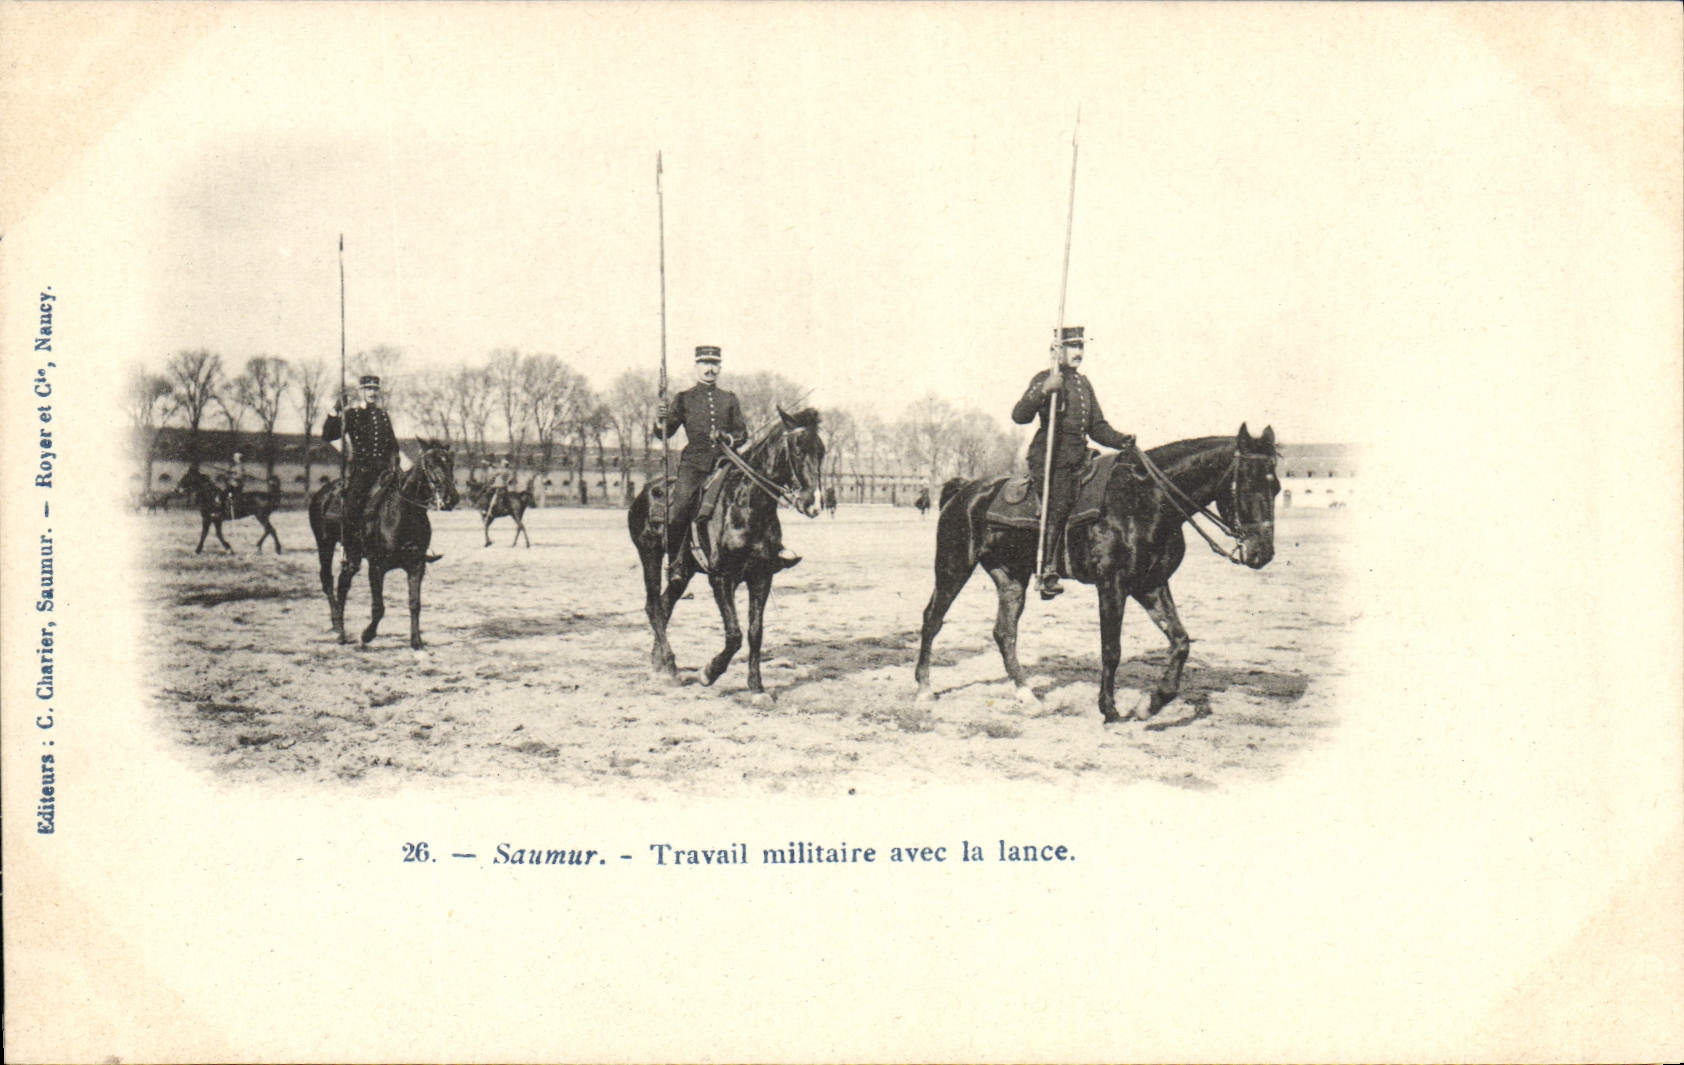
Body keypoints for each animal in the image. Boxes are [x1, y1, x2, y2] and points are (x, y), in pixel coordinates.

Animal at [307, 445, 459, 649]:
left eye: (450, 464)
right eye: (430, 464)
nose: (452, 498)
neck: (404, 513)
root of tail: (323, 493)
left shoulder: (416, 566)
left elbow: (415, 603)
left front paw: (416, 641)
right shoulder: (377, 567)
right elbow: (379, 607)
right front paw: (367, 635)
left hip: (352, 555)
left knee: (344, 581)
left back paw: (340, 627)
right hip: (325, 544)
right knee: (327, 580)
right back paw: (339, 628)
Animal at [627, 408, 825, 699]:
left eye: (821, 451)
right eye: (799, 450)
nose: (815, 503)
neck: (747, 504)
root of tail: (645, 491)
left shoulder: (761, 577)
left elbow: (755, 632)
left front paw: (756, 686)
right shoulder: (721, 578)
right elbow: (734, 634)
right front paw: (708, 673)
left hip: (684, 571)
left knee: (664, 605)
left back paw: (659, 662)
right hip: (649, 555)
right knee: (653, 605)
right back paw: (671, 667)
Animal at [914, 425, 1280, 723]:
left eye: (1275, 486)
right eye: (1246, 482)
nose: (1262, 553)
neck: (1147, 500)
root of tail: (965, 490)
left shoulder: (1151, 584)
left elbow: (1180, 642)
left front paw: (1151, 704)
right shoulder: (1112, 585)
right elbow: (1111, 648)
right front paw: (1109, 709)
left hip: (1011, 576)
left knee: (1004, 632)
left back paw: (1027, 696)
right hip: (953, 567)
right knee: (932, 619)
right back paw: (924, 690)